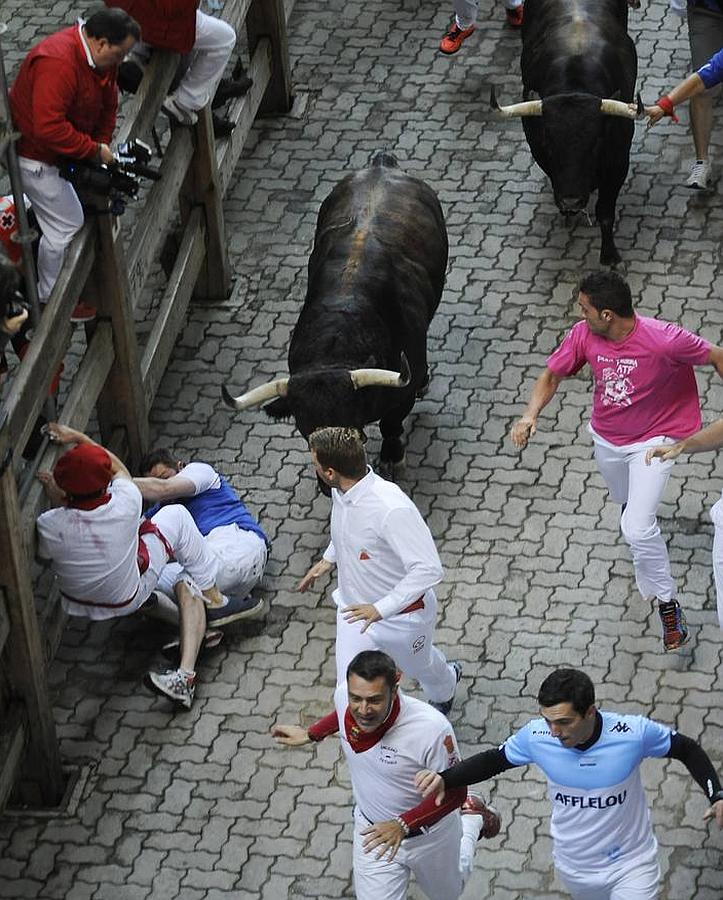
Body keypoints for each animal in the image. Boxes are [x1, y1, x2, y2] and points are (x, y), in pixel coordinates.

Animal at [512, 0, 636, 266]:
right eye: (549, 143)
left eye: (596, 142)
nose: (572, 201)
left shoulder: (619, 162)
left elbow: (605, 212)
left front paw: (609, 255)